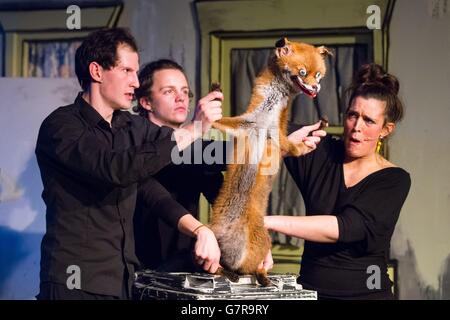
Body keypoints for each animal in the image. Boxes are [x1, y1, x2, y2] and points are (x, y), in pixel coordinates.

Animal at [208, 37, 330, 284]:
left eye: (319, 76)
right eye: (303, 73)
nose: (315, 88)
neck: (264, 119)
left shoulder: (278, 138)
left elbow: (298, 149)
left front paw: (316, 131)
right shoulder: (243, 125)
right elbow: (216, 120)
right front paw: (213, 95)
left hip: (261, 242)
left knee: (250, 268)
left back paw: (258, 277)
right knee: (224, 268)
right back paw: (231, 273)